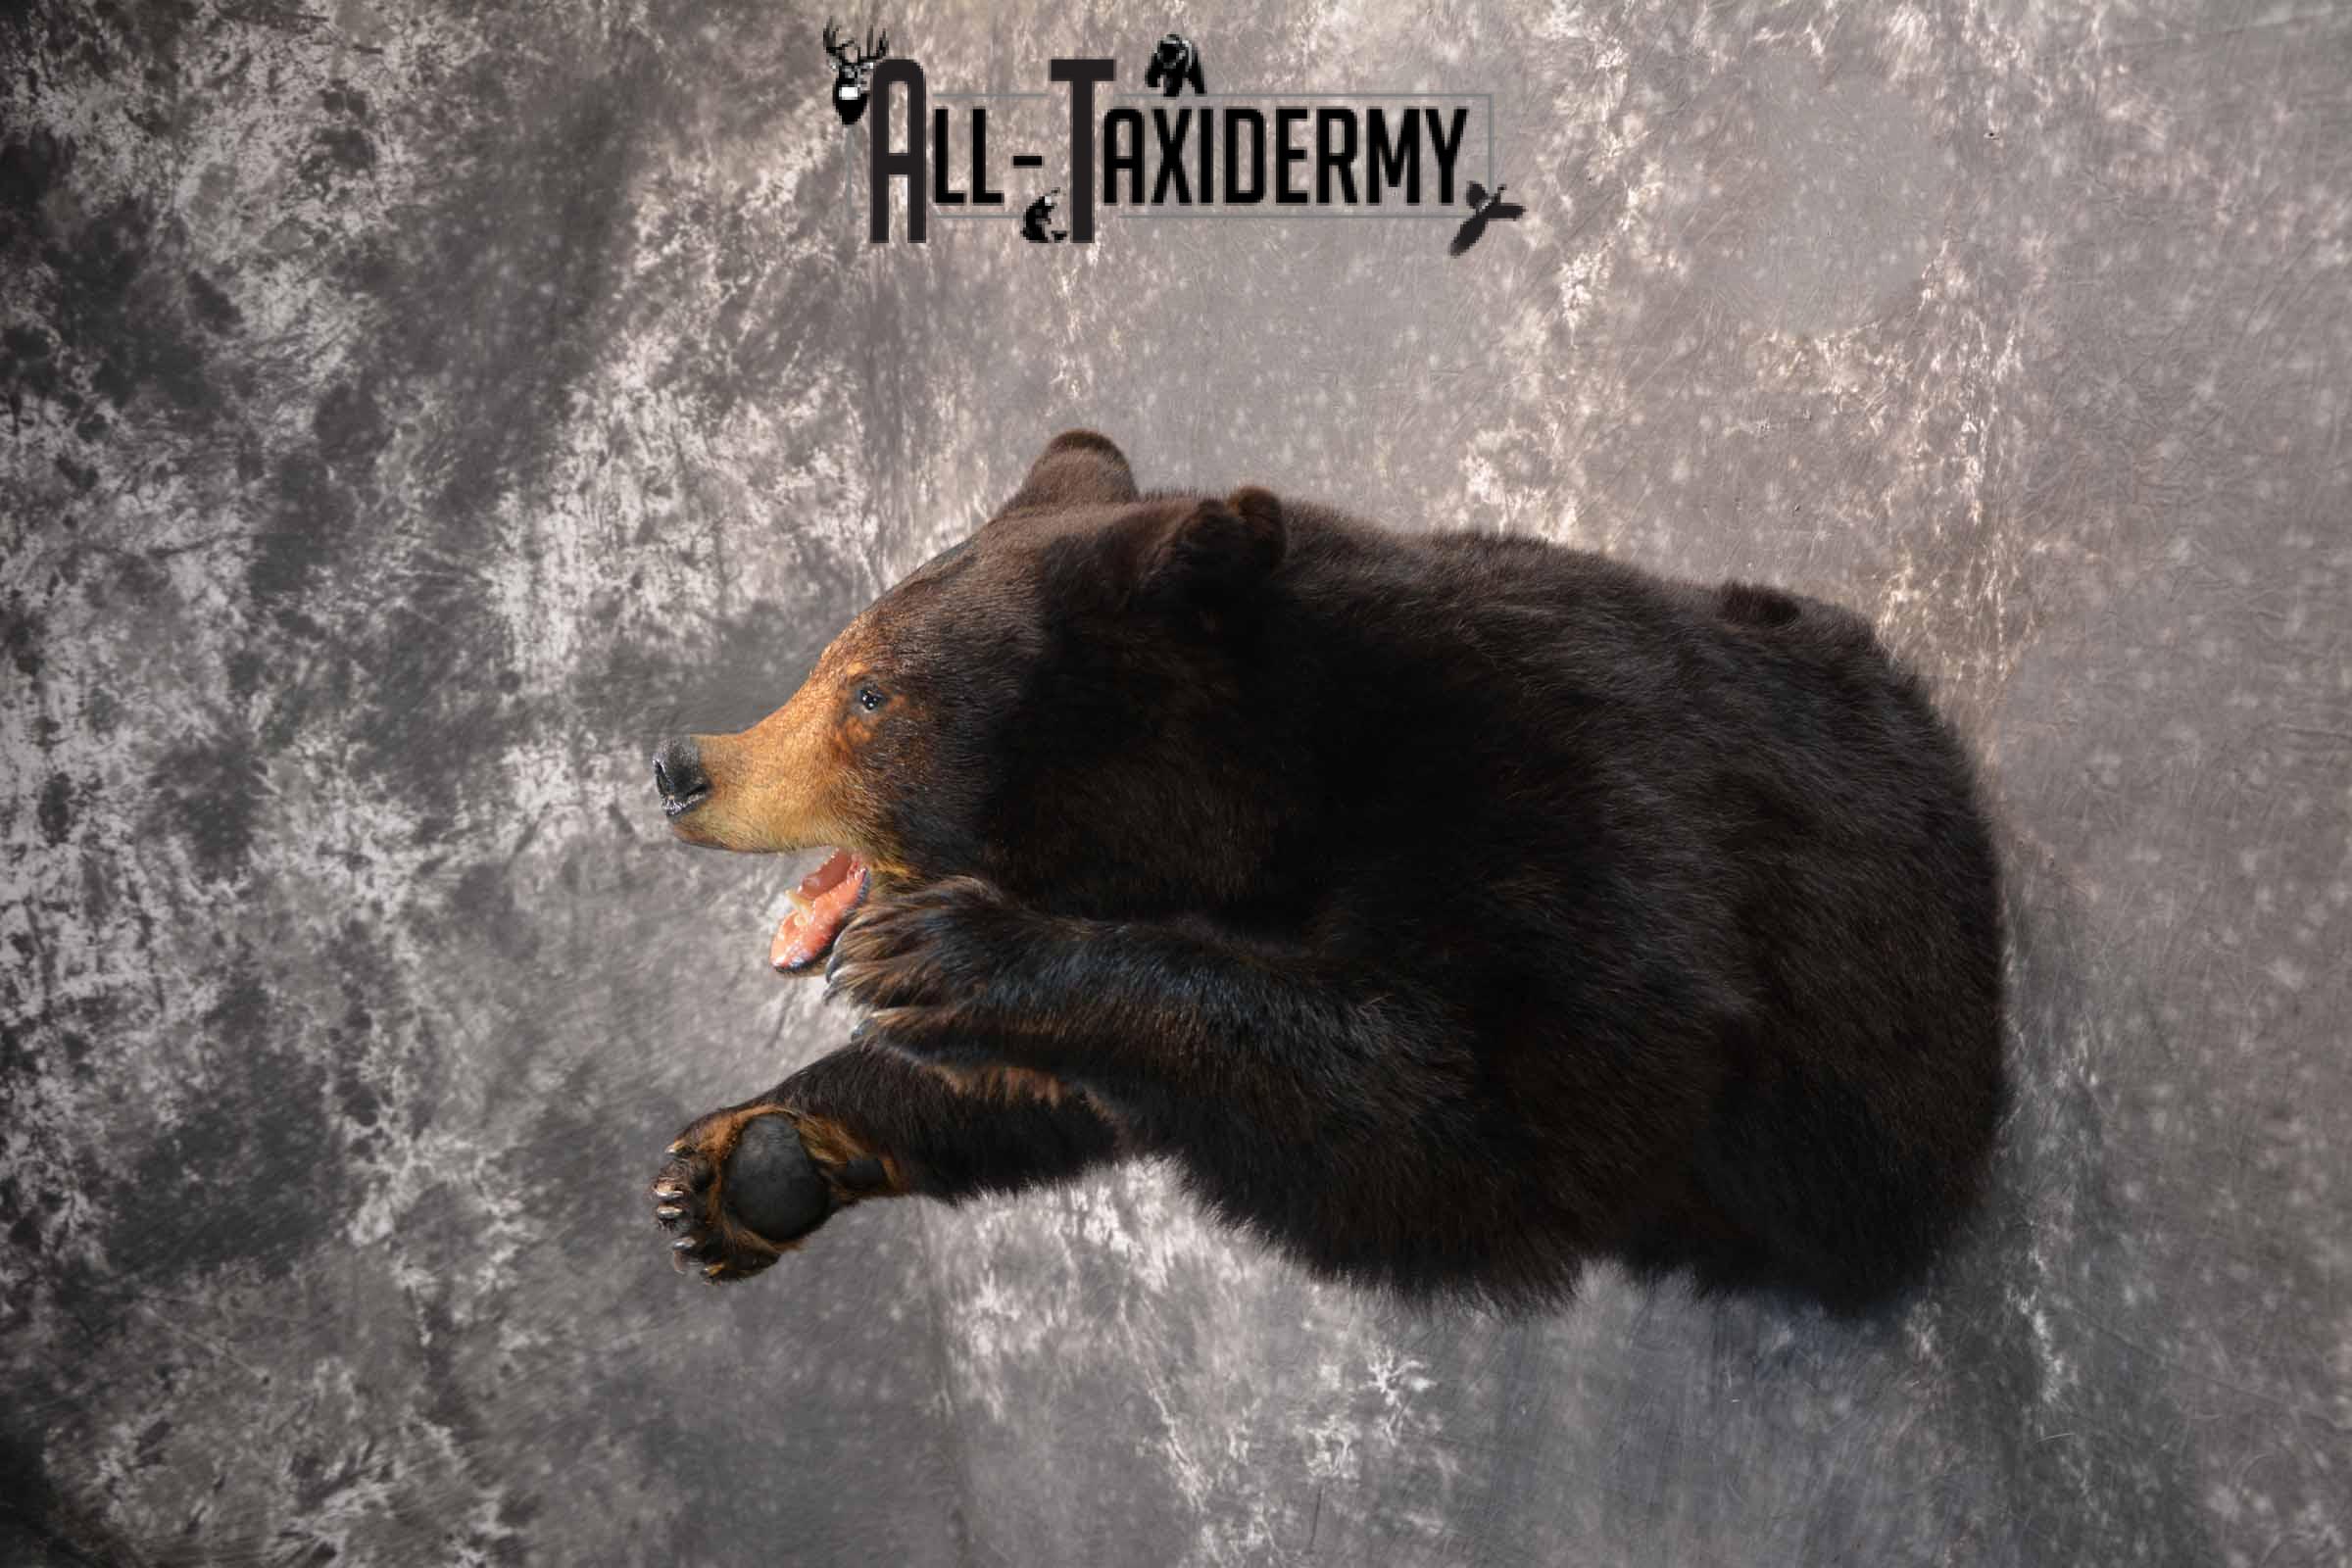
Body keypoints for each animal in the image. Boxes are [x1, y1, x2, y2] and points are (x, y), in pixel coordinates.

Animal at [646, 429, 2005, 1315]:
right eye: (832, 660)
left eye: (870, 696)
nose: (681, 764)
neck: (1287, 789)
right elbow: (1050, 1098)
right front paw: (744, 1159)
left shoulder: (1564, 801)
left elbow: (1493, 1116)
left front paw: (949, 956)